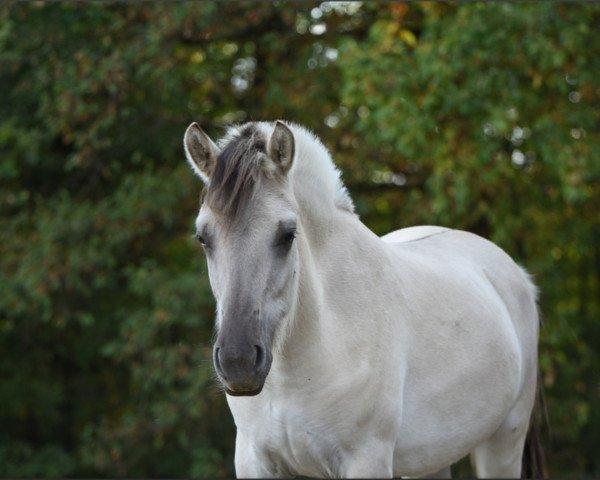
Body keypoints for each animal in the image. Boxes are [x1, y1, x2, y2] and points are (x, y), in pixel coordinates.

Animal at [180, 119, 540, 476]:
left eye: (287, 234)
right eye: (203, 238)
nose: (238, 362)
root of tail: (518, 277)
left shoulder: (366, 459)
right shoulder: (254, 460)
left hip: (504, 441)